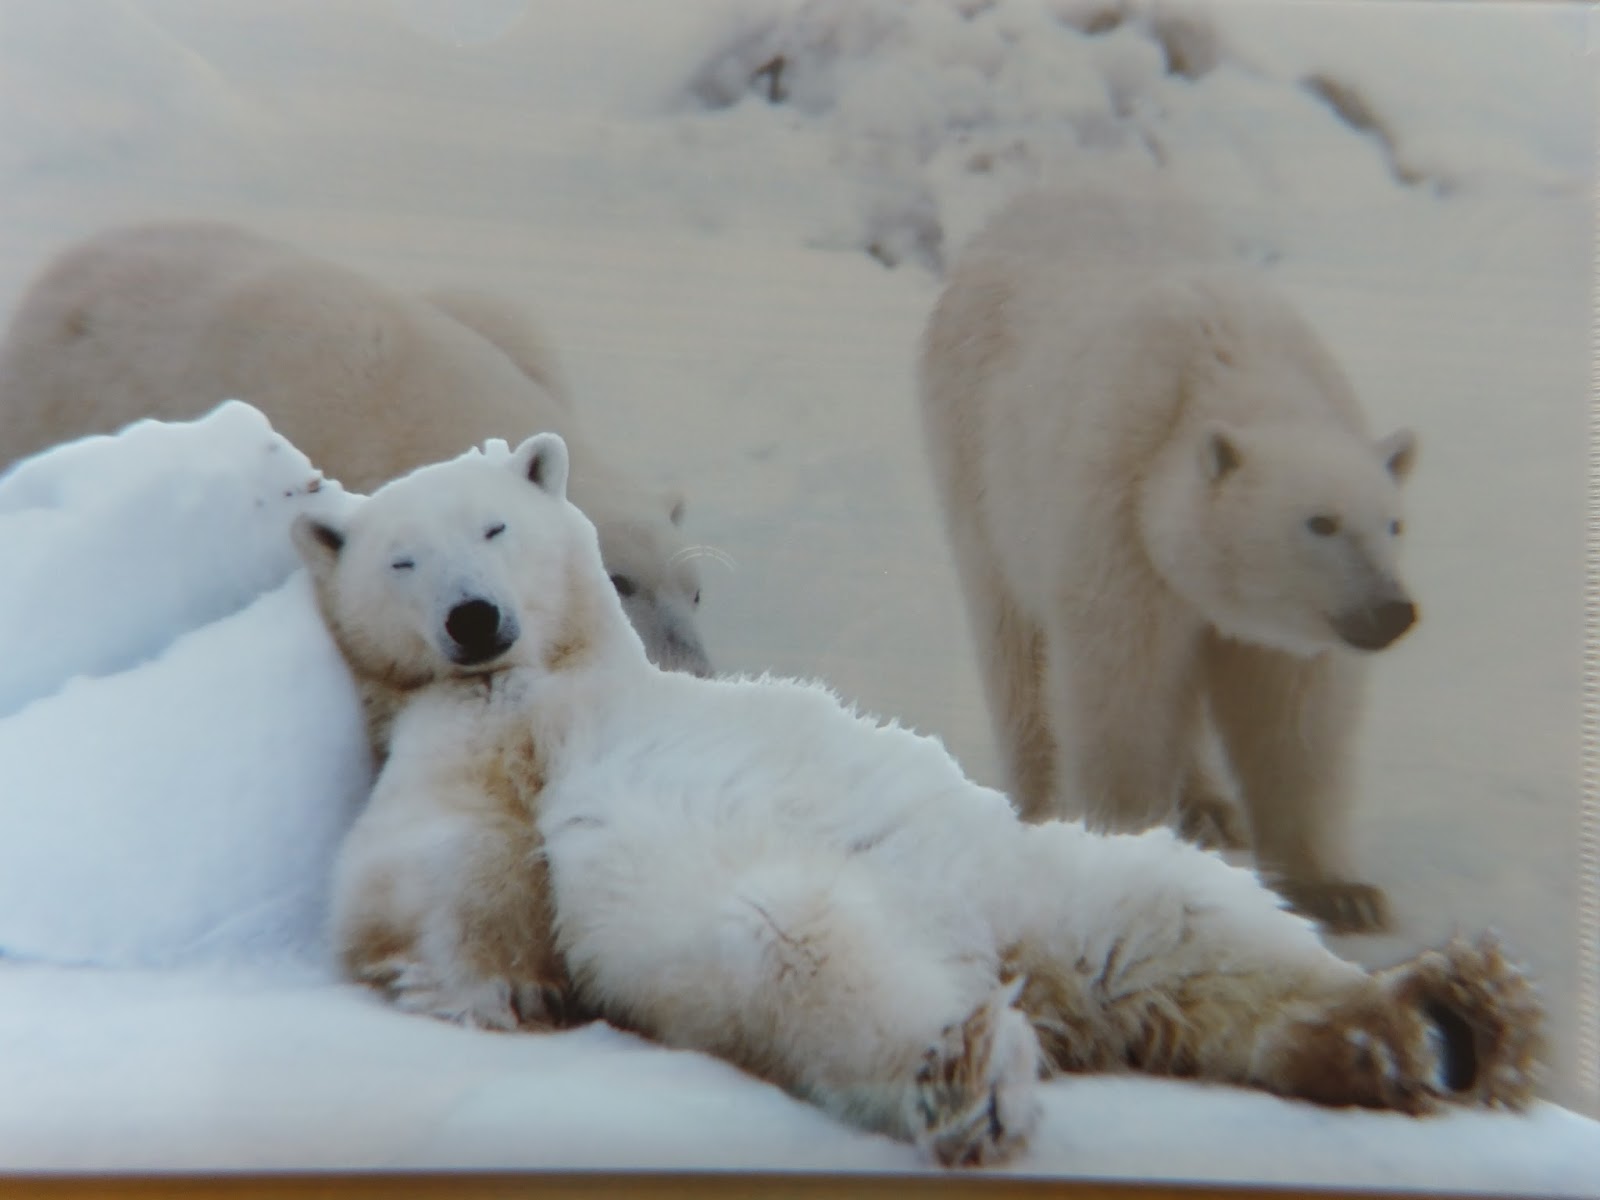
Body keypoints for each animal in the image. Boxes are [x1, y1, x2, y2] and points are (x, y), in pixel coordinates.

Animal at [291, 435, 1536, 1177]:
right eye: (401, 559)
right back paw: (966, 1070)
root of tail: (1009, 963)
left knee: (1179, 918)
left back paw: (1440, 1018)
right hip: (776, 923)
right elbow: (431, 860)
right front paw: (498, 990)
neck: (562, 671)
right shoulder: (481, 735)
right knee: (806, 954)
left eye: (494, 528)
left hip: (1041, 877)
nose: (475, 618)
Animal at [921, 167, 1420, 940]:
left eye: (1393, 524)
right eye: (1321, 523)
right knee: (1014, 643)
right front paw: (1125, 848)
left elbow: (1294, 717)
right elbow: (1120, 685)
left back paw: (1208, 805)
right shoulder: (1116, 514)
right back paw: (1038, 798)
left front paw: (1340, 891)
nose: (1391, 611)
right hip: (974, 457)